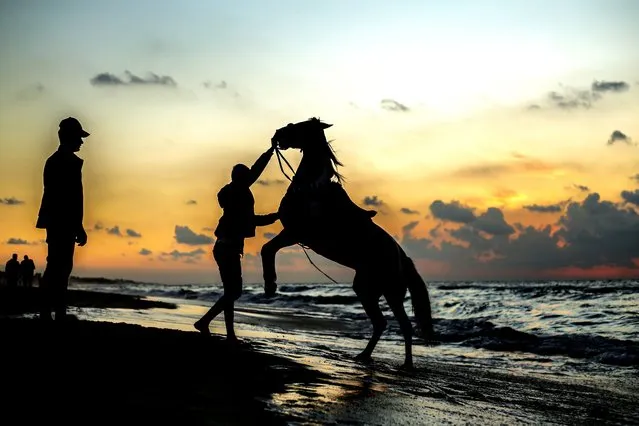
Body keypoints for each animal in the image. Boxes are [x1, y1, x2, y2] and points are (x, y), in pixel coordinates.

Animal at [262, 117, 436, 370]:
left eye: (299, 126)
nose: (278, 134)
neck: (312, 188)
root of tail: (403, 259)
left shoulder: (295, 233)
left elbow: (267, 249)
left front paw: (270, 285)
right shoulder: (291, 232)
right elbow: (268, 248)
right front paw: (270, 284)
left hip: (391, 292)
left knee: (403, 325)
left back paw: (406, 365)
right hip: (366, 288)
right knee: (381, 323)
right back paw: (364, 356)